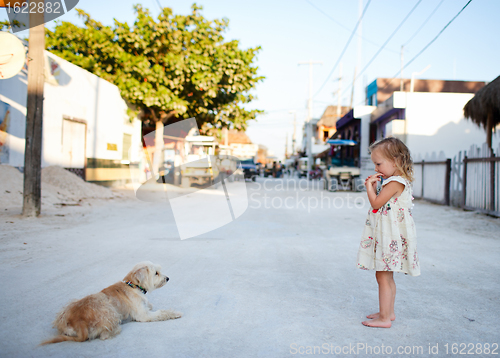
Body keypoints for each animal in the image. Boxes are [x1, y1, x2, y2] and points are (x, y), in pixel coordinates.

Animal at [41, 260, 182, 344]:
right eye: (156, 273)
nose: (168, 278)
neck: (133, 285)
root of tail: (77, 322)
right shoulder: (144, 315)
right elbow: (162, 312)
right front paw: (175, 313)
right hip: (108, 309)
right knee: (104, 335)